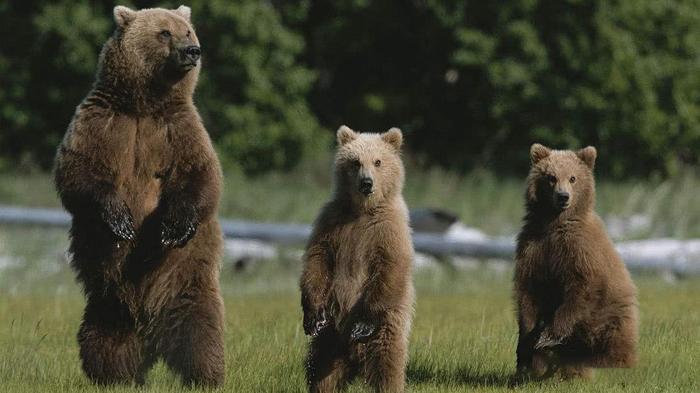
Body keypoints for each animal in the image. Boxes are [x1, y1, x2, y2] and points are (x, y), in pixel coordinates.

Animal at [54, 5, 224, 386]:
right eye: (164, 32)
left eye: (187, 31)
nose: (192, 51)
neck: (145, 104)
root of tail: (149, 324)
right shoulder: (101, 121)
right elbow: (77, 172)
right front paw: (119, 220)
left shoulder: (179, 127)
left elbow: (200, 174)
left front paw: (175, 226)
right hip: (108, 289)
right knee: (106, 333)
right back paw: (114, 376)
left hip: (185, 275)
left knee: (199, 328)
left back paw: (204, 376)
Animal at [300, 125, 416, 392]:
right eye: (355, 162)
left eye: (378, 161)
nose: (366, 183)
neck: (362, 210)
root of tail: (354, 355)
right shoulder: (332, 224)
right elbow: (317, 259)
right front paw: (313, 314)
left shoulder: (388, 231)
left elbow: (390, 267)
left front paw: (363, 322)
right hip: (330, 336)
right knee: (321, 368)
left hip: (386, 328)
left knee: (387, 365)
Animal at [516, 143, 640, 380]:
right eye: (551, 177)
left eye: (573, 178)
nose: (563, 196)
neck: (554, 224)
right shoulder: (534, 247)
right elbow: (528, 293)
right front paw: (527, 348)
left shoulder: (580, 251)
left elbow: (582, 290)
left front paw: (547, 336)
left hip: (613, 317)